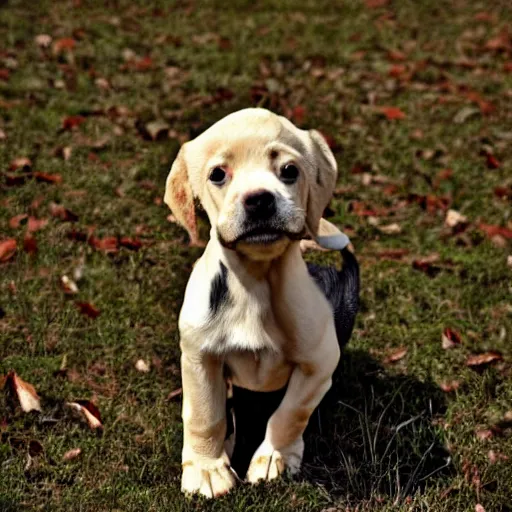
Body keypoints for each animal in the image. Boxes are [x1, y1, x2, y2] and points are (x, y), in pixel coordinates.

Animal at [165, 107, 360, 496]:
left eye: (289, 170)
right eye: (218, 174)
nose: (259, 199)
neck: (256, 283)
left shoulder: (318, 365)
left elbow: (290, 414)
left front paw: (274, 458)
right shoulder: (199, 357)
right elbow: (206, 416)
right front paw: (207, 469)